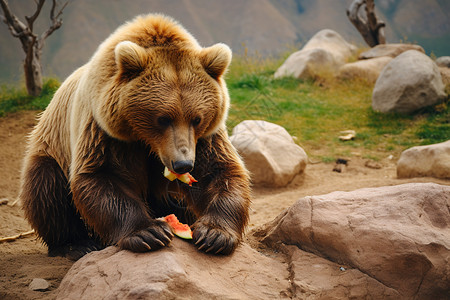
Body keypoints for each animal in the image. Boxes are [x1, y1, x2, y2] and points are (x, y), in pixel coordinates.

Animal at [20, 12, 250, 258]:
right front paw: (149, 232)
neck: (145, 140)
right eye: (163, 118)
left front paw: (214, 234)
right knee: (47, 188)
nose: (183, 164)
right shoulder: (104, 131)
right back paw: (75, 244)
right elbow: (101, 177)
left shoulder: (205, 138)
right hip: (52, 146)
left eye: (196, 119)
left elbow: (219, 171)